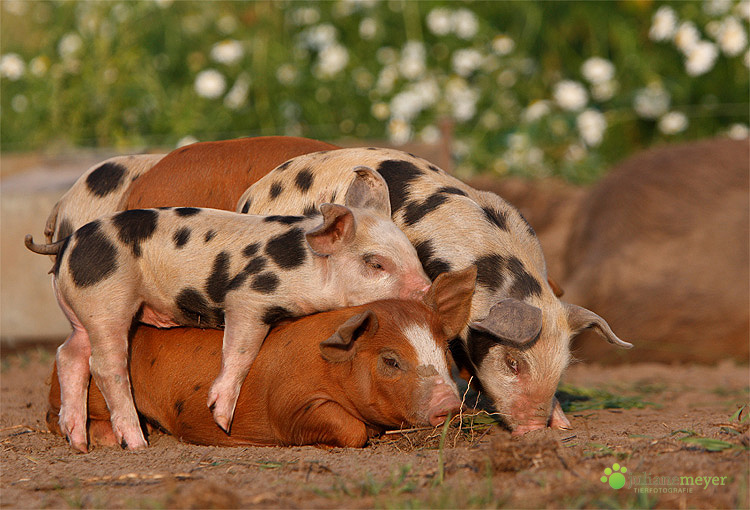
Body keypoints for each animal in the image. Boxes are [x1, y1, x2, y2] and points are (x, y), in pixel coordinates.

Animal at [25, 167, 428, 450]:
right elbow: (241, 348)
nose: (425, 289)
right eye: (376, 264)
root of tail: (69, 239)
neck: (309, 267)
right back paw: (136, 443)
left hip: (82, 312)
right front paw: (221, 418)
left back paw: (78, 441)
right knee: (106, 366)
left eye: (413, 252)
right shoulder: (249, 297)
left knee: (69, 354)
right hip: (107, 299)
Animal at [44, 268, 476, 448]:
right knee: (58, 416)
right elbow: (351, 430)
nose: (449, 404)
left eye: (444, 352)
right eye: (390, 360)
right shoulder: (291, 402)